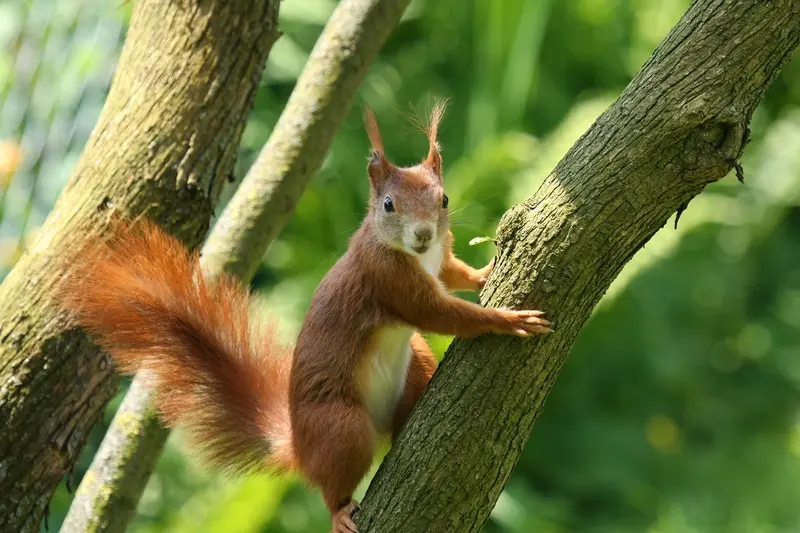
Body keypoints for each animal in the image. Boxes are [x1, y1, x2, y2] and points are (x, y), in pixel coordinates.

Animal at [57, 101, 552, 533]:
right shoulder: (387, 280)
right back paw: (339, 512)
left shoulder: (439, 261)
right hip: (340, 426)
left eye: (444, 198)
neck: (415, 255)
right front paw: (507, 318)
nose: (423, 234)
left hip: (413, 362)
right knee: (333, 482)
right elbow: (440, 314)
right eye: (388, 205)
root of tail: (299, 446)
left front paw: (485, 270)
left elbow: (454, 274)